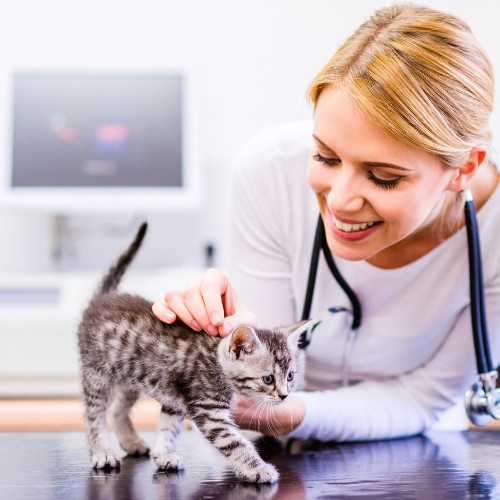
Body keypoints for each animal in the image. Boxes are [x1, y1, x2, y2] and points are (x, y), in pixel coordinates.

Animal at [77, 224, 304, 484]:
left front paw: (164, 453)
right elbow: (235, 443)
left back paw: (131, 442)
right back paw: (102, 452)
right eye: (268, 379)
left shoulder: (176, 400)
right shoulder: (209, 412)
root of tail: (101, 299)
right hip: (96, 373)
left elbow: (169, 426)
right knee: (94, 415)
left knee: (117, 409)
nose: (285, 396)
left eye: (290, 376)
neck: (215, 361)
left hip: (130, 377)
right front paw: (258, 468)